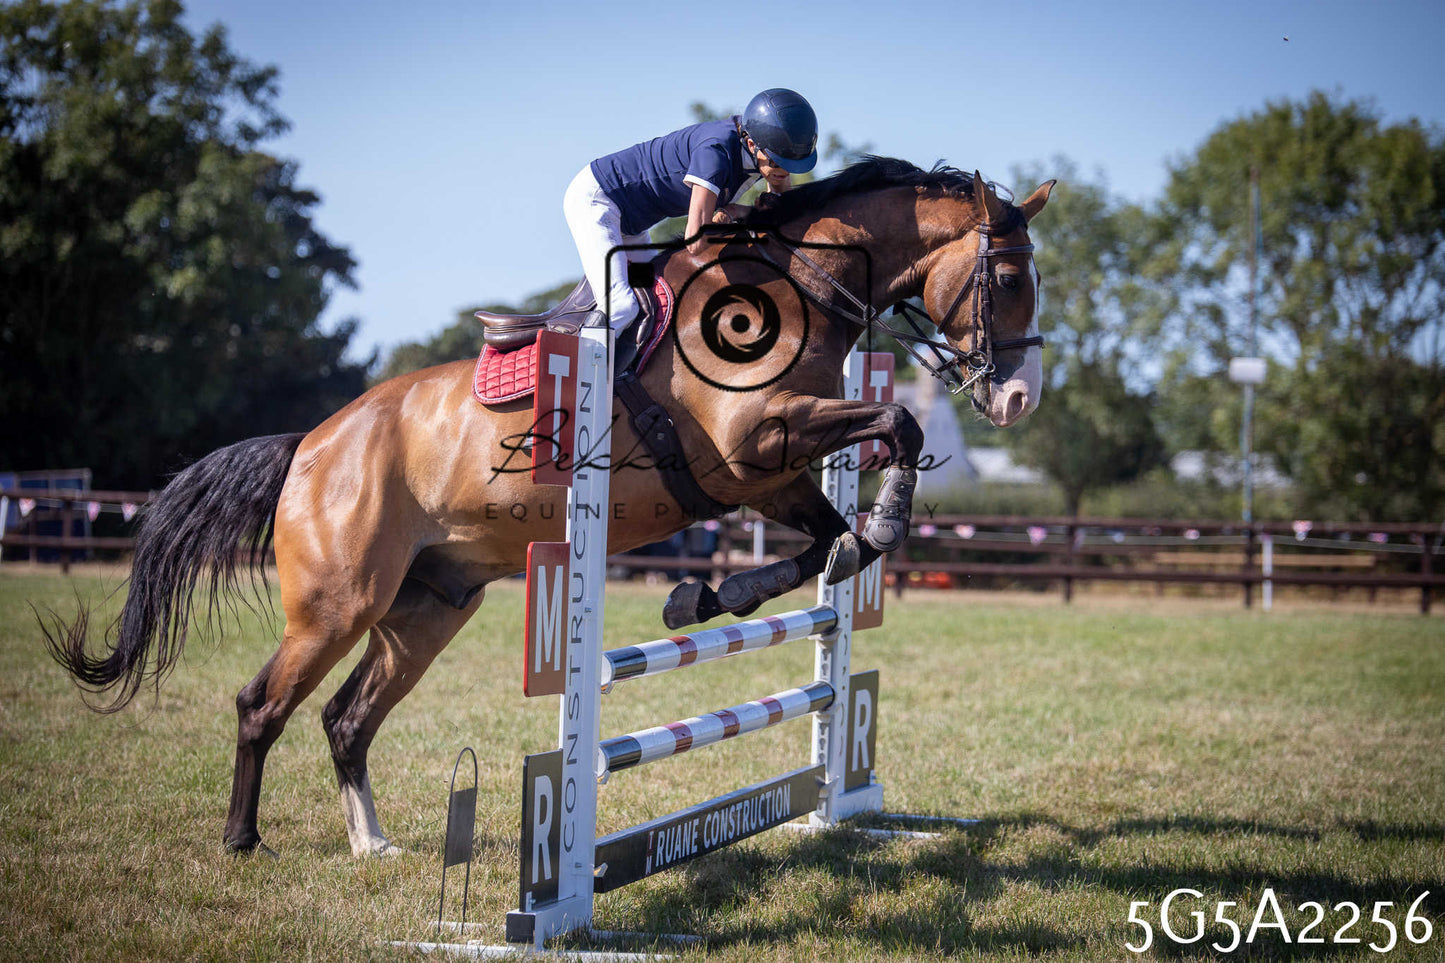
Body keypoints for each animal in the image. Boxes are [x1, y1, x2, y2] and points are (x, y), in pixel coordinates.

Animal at [46, 156, 1054, 858]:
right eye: (1008, 280)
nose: (1016, 402)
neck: (792, 290)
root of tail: (311, 446)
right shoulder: (754, 441)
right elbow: (896, 424)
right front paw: (864, 528)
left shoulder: (762, 475)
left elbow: (829, 543)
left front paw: (712, 594)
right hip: (339, 602)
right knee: (262, 705)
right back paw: (242, 840)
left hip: (429, 607)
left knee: (346, 719)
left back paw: (372, 842)